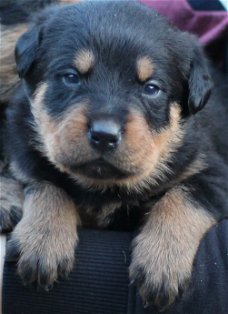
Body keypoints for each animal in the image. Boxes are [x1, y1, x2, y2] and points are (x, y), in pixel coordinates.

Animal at [3, 0, 228, 310]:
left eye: (151, 88)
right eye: (71, 77)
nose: (104, 135)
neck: (103, 186)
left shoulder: (215, 174)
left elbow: (184, 197)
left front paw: (161, 261)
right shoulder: (25, 156)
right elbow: (47, 183)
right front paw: (42, 239)